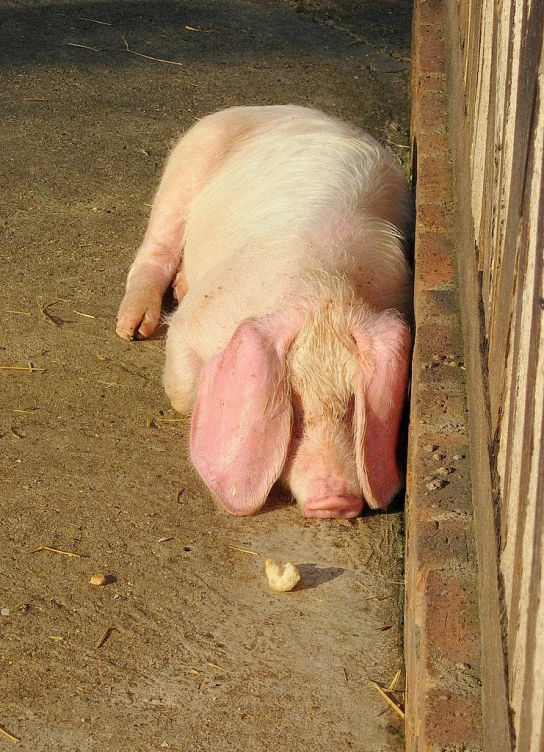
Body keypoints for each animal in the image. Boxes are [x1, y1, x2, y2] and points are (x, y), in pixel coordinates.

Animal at [116, 104, 412, 516]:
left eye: (354, 407)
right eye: (295, 409)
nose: (335, 501)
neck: (322, 293)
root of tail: (273, 108)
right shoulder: (196, 321)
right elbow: (184, 390)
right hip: (185, 165)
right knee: (155, 248)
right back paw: (134, 327)